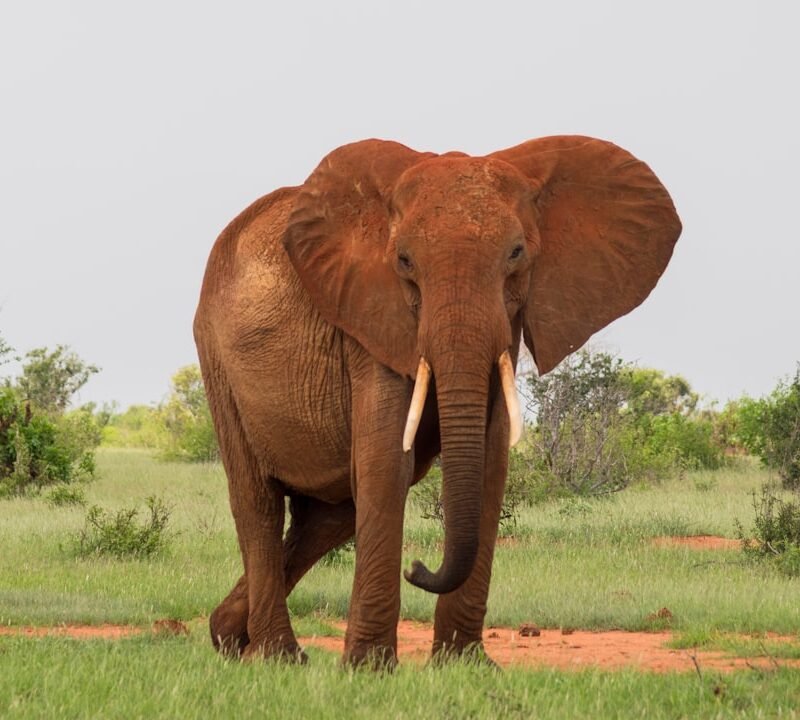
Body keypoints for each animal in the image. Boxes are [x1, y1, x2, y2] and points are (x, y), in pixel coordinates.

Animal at [194, 135, 681, 667]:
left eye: (516, 253)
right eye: (404, 261)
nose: (418, 567)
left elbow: (489, 462)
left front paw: (465, 665)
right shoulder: (370, 318)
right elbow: (388, 461)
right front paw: (368, 669)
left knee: (329, 517)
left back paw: (228, 637)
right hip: (217, 358)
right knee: (258, 502)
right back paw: (276, 657)